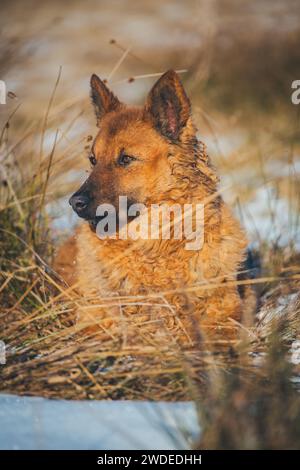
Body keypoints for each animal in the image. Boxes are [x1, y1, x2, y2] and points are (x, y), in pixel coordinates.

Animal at [54, 71, 251, 346]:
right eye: (93, 160)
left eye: (126, 159)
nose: (75, 203)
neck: (155, 248)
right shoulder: (94, 322)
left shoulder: (225, 312)